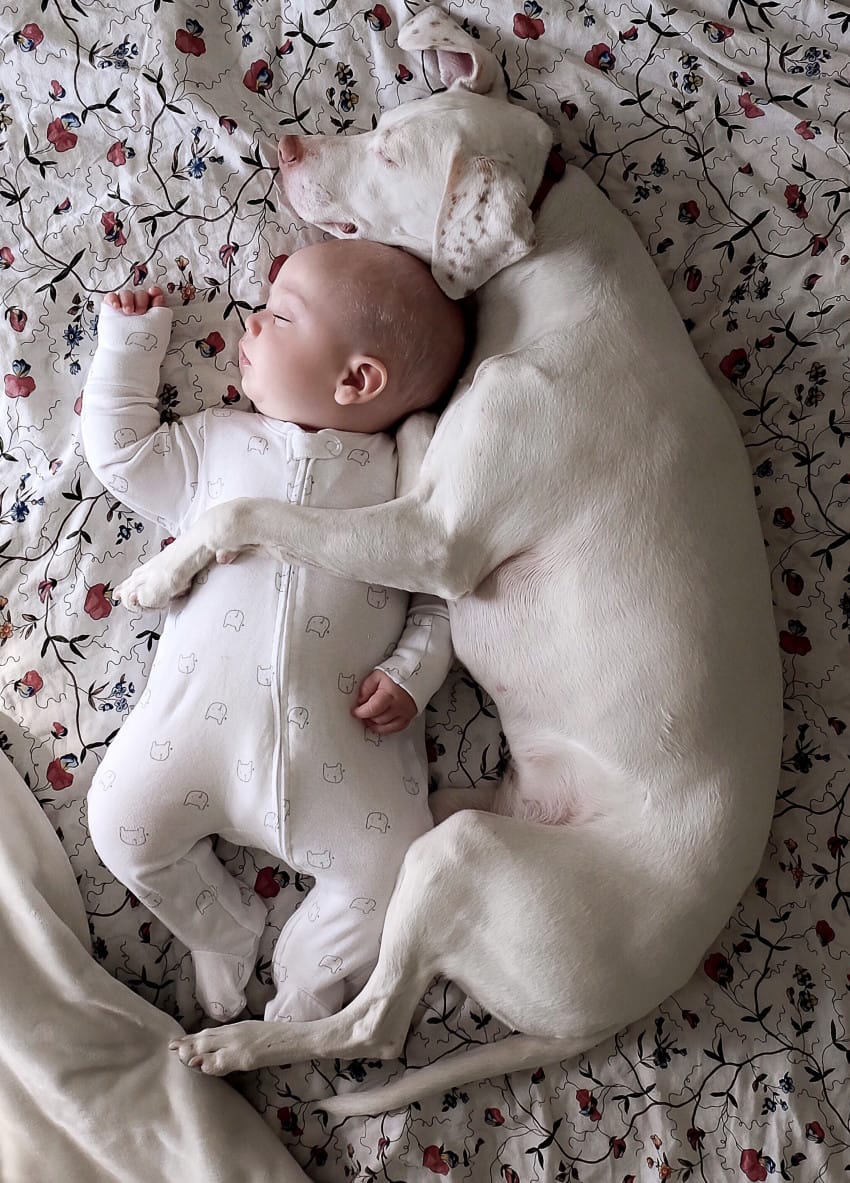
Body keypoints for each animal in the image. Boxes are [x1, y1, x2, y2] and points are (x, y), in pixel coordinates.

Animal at [114, 6, 784, 1116]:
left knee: (374, 1027)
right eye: (384, 118)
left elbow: (255, 507)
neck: (558, 264)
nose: (288, 147)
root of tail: (619, 1008)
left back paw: (242, 1043)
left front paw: (160, 574)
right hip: (455, 824)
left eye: (390, 155)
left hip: (458, 859)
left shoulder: (433, 537)